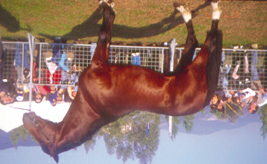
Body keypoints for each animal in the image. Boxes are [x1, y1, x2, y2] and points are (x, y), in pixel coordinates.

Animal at [23, 0, 224, 163]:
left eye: (40, 138)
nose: (25, 116)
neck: (91, 104)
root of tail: (206, 99)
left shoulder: (99, 60)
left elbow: (105, 29)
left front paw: (106, 6)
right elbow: (107, 29)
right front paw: (108, 7)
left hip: (197, 63)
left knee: (209, 39)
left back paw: (209, 9)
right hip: (186, 64)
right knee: (197, 40)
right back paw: (191, 11)